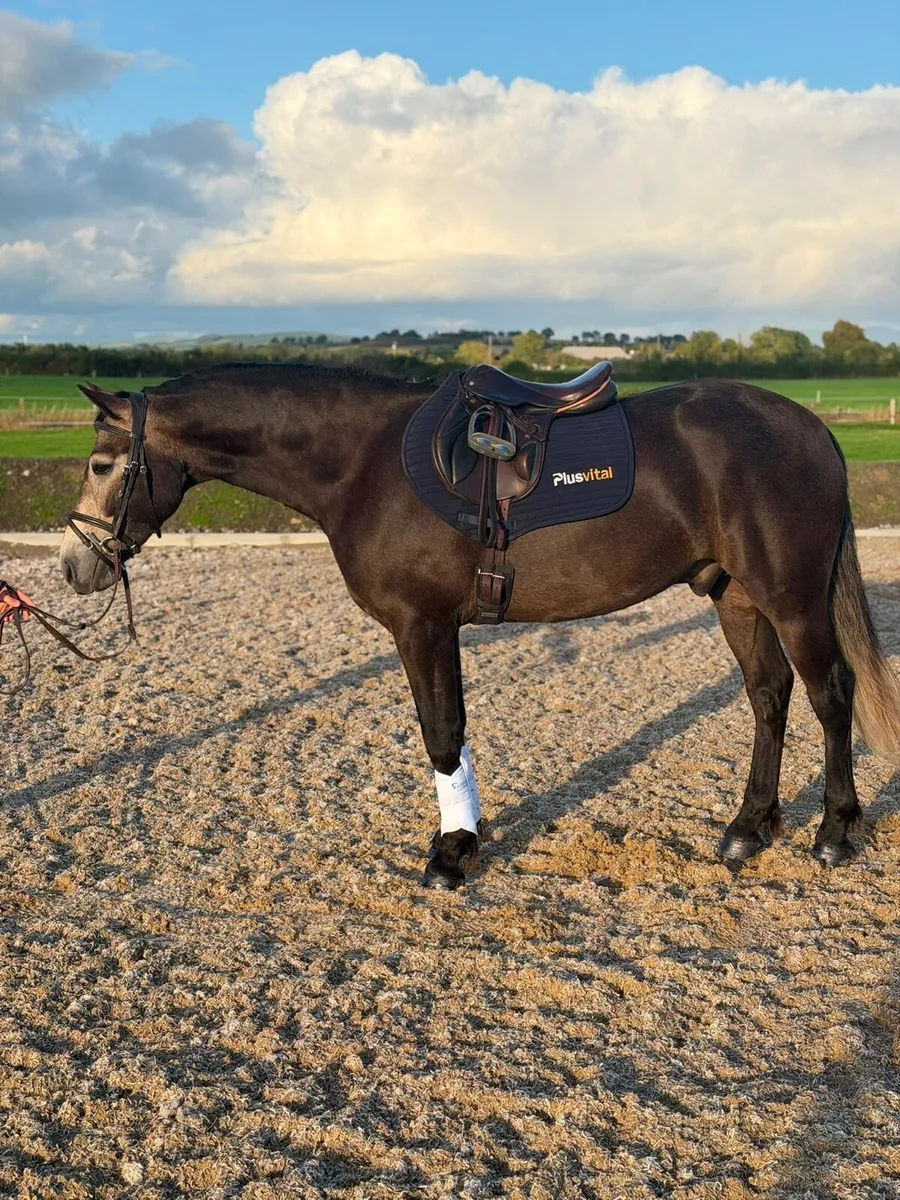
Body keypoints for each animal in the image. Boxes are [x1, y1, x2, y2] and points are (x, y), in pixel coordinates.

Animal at [58, 362, 900, 889]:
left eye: (101, 465)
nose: (74, 565)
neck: (360, 463)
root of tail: (810, 428)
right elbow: (450, 733)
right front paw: (461, 837)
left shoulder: (422, 626)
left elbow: (441, 733)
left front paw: (450, 852)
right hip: (736, 597)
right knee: (769, 696)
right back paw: (749, 826)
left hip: (790, 597)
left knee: (829, 697)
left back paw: (834, 833)